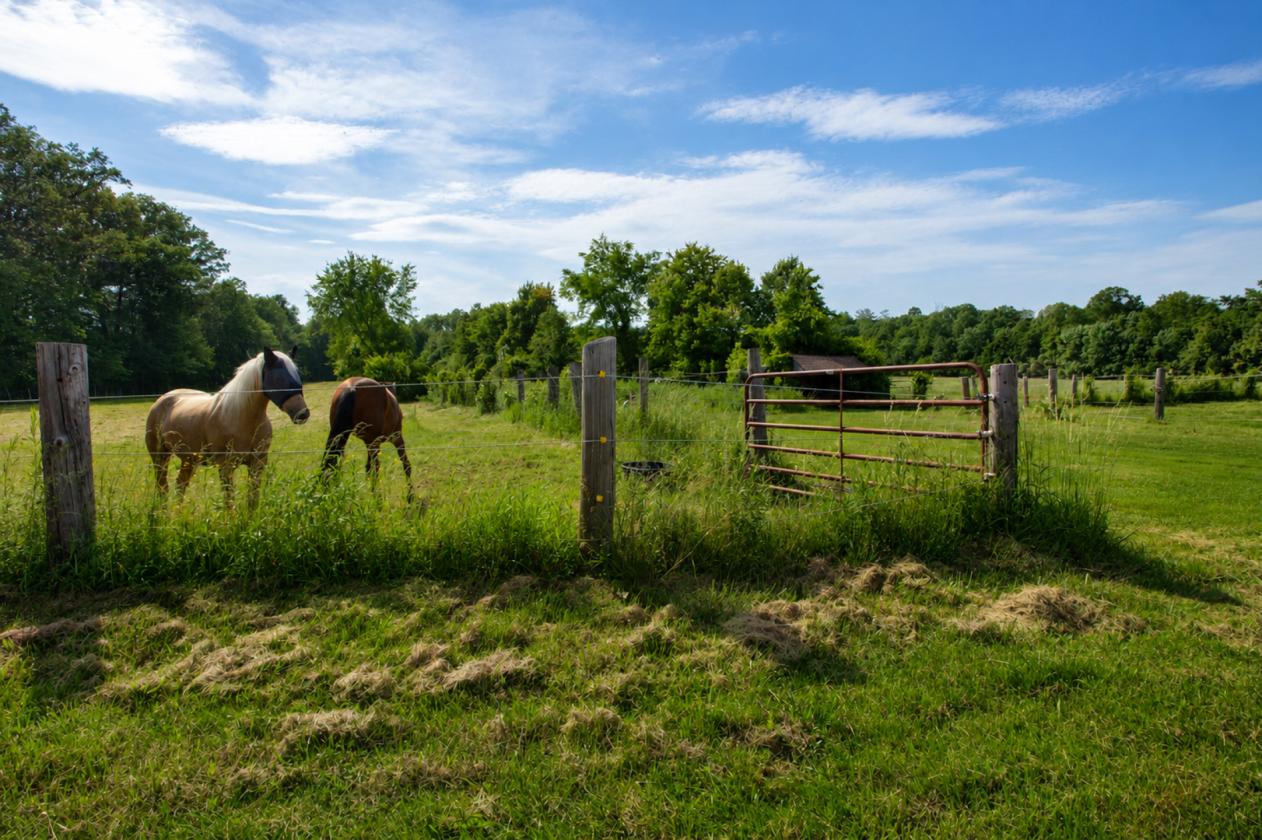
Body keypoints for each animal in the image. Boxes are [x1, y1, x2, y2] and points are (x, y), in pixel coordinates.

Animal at [145, 347, 310, 507]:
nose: (302, 413)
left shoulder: (258, 464)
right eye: (278, 378)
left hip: (188, 460)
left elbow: (252, 501)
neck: (240, 418)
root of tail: (163, 399)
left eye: (297, 375)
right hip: (160, 457)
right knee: (162, 486)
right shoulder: (225, 467)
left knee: (180, 485)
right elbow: (229, 502)